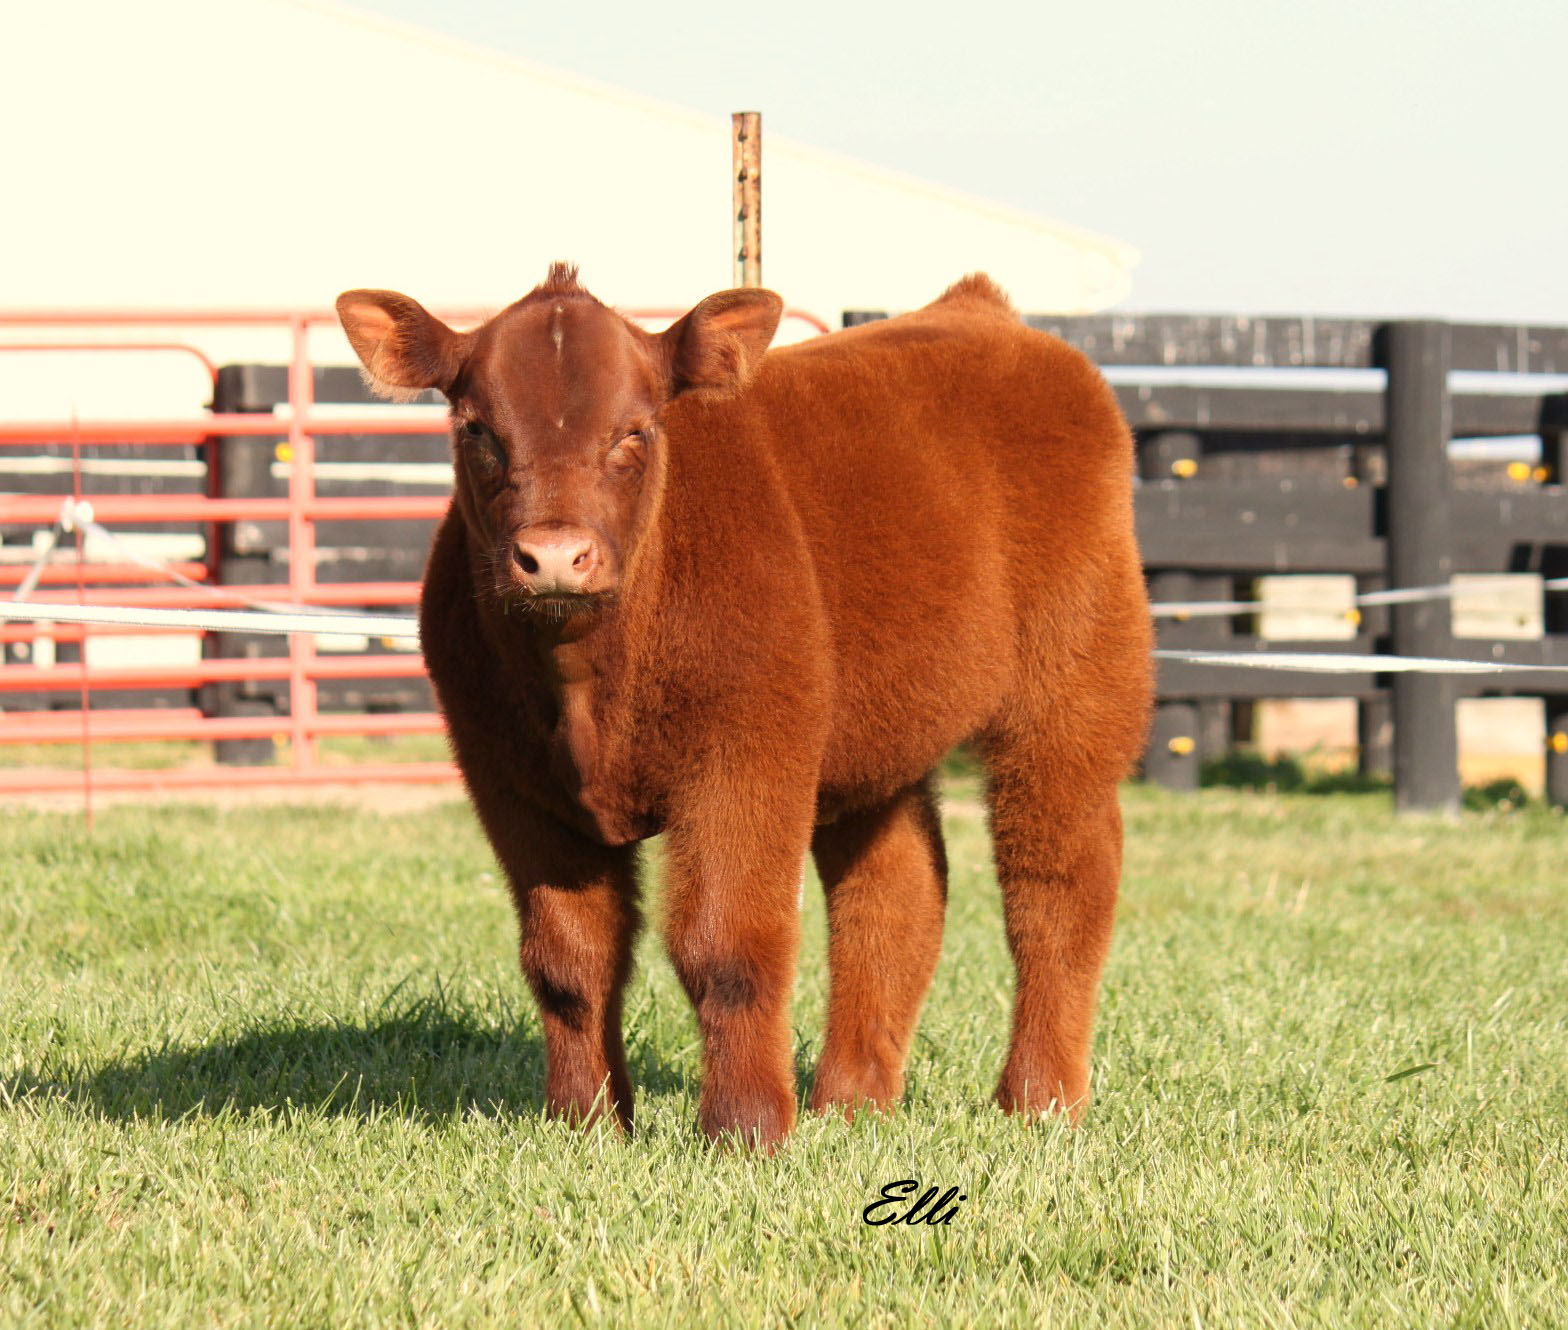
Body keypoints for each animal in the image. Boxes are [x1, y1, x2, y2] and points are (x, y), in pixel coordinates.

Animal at [335, 265, 1152, 1150]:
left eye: (636, 431)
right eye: (478, 429)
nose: (553, 556)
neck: (589, 689)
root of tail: (982, 311)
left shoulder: (746, 757)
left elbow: (726, 945)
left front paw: (746, 1128)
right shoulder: (511, 786)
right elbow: (569, 958)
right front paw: (585, 1123)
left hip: (1073, 694)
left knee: (1058, 883)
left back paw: (1039, 1101)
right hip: (876, 742)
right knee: (896, 895)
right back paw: (850, 1101)